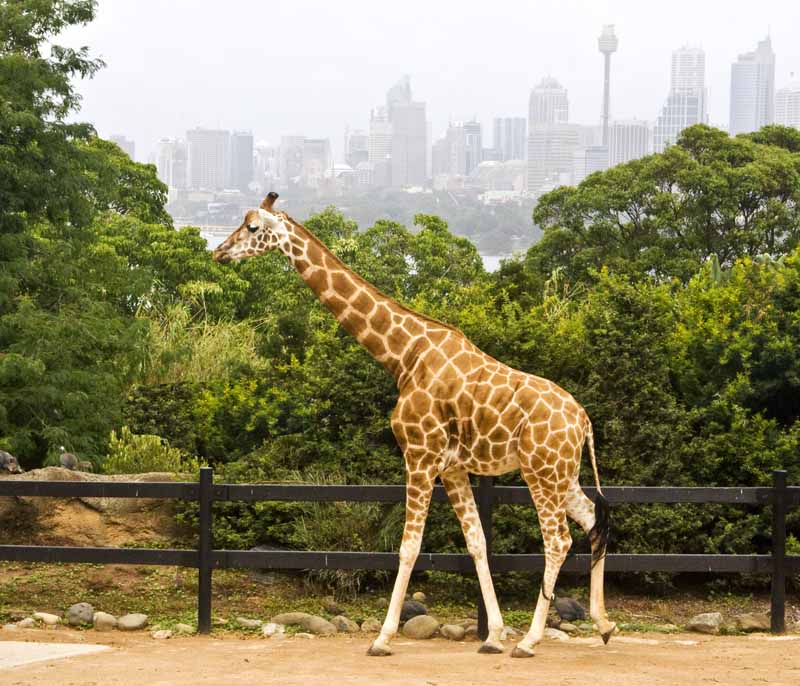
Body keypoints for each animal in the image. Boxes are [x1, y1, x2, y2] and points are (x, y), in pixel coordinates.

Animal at [214, 192, 620, 656]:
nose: (219, 251)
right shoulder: (453, 467)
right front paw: (493, 634)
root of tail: (584, 420)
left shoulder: (420, 455)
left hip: (542, 472)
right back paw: (603, 624)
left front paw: (382, 637)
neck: (403, 356)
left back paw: (532, 640)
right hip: (561, 473)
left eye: (252, 228)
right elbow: (477, 543)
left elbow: (408, 547)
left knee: (558, 540)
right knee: (593, 519)